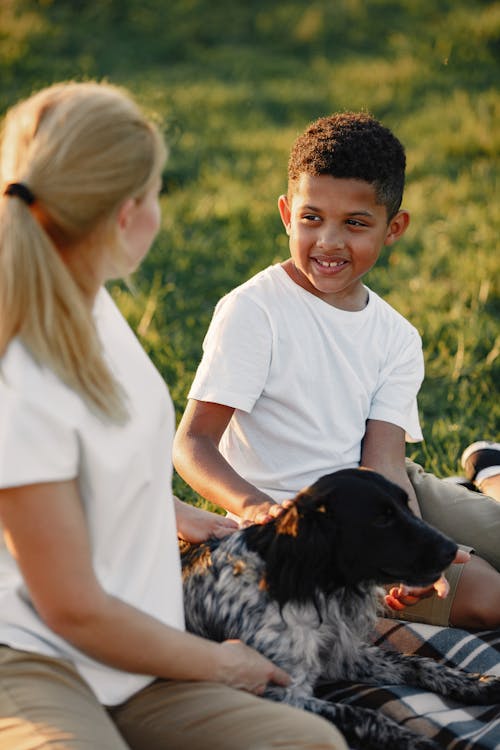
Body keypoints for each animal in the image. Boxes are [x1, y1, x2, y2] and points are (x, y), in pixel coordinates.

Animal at [181, 470, 500, 750]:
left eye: (406, 505)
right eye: (382, 519)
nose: (452, 550)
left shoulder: (344, 656)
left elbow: (418, 663)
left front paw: (476, 684)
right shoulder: (278, 692)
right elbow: (360, 713)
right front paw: (412, 740)